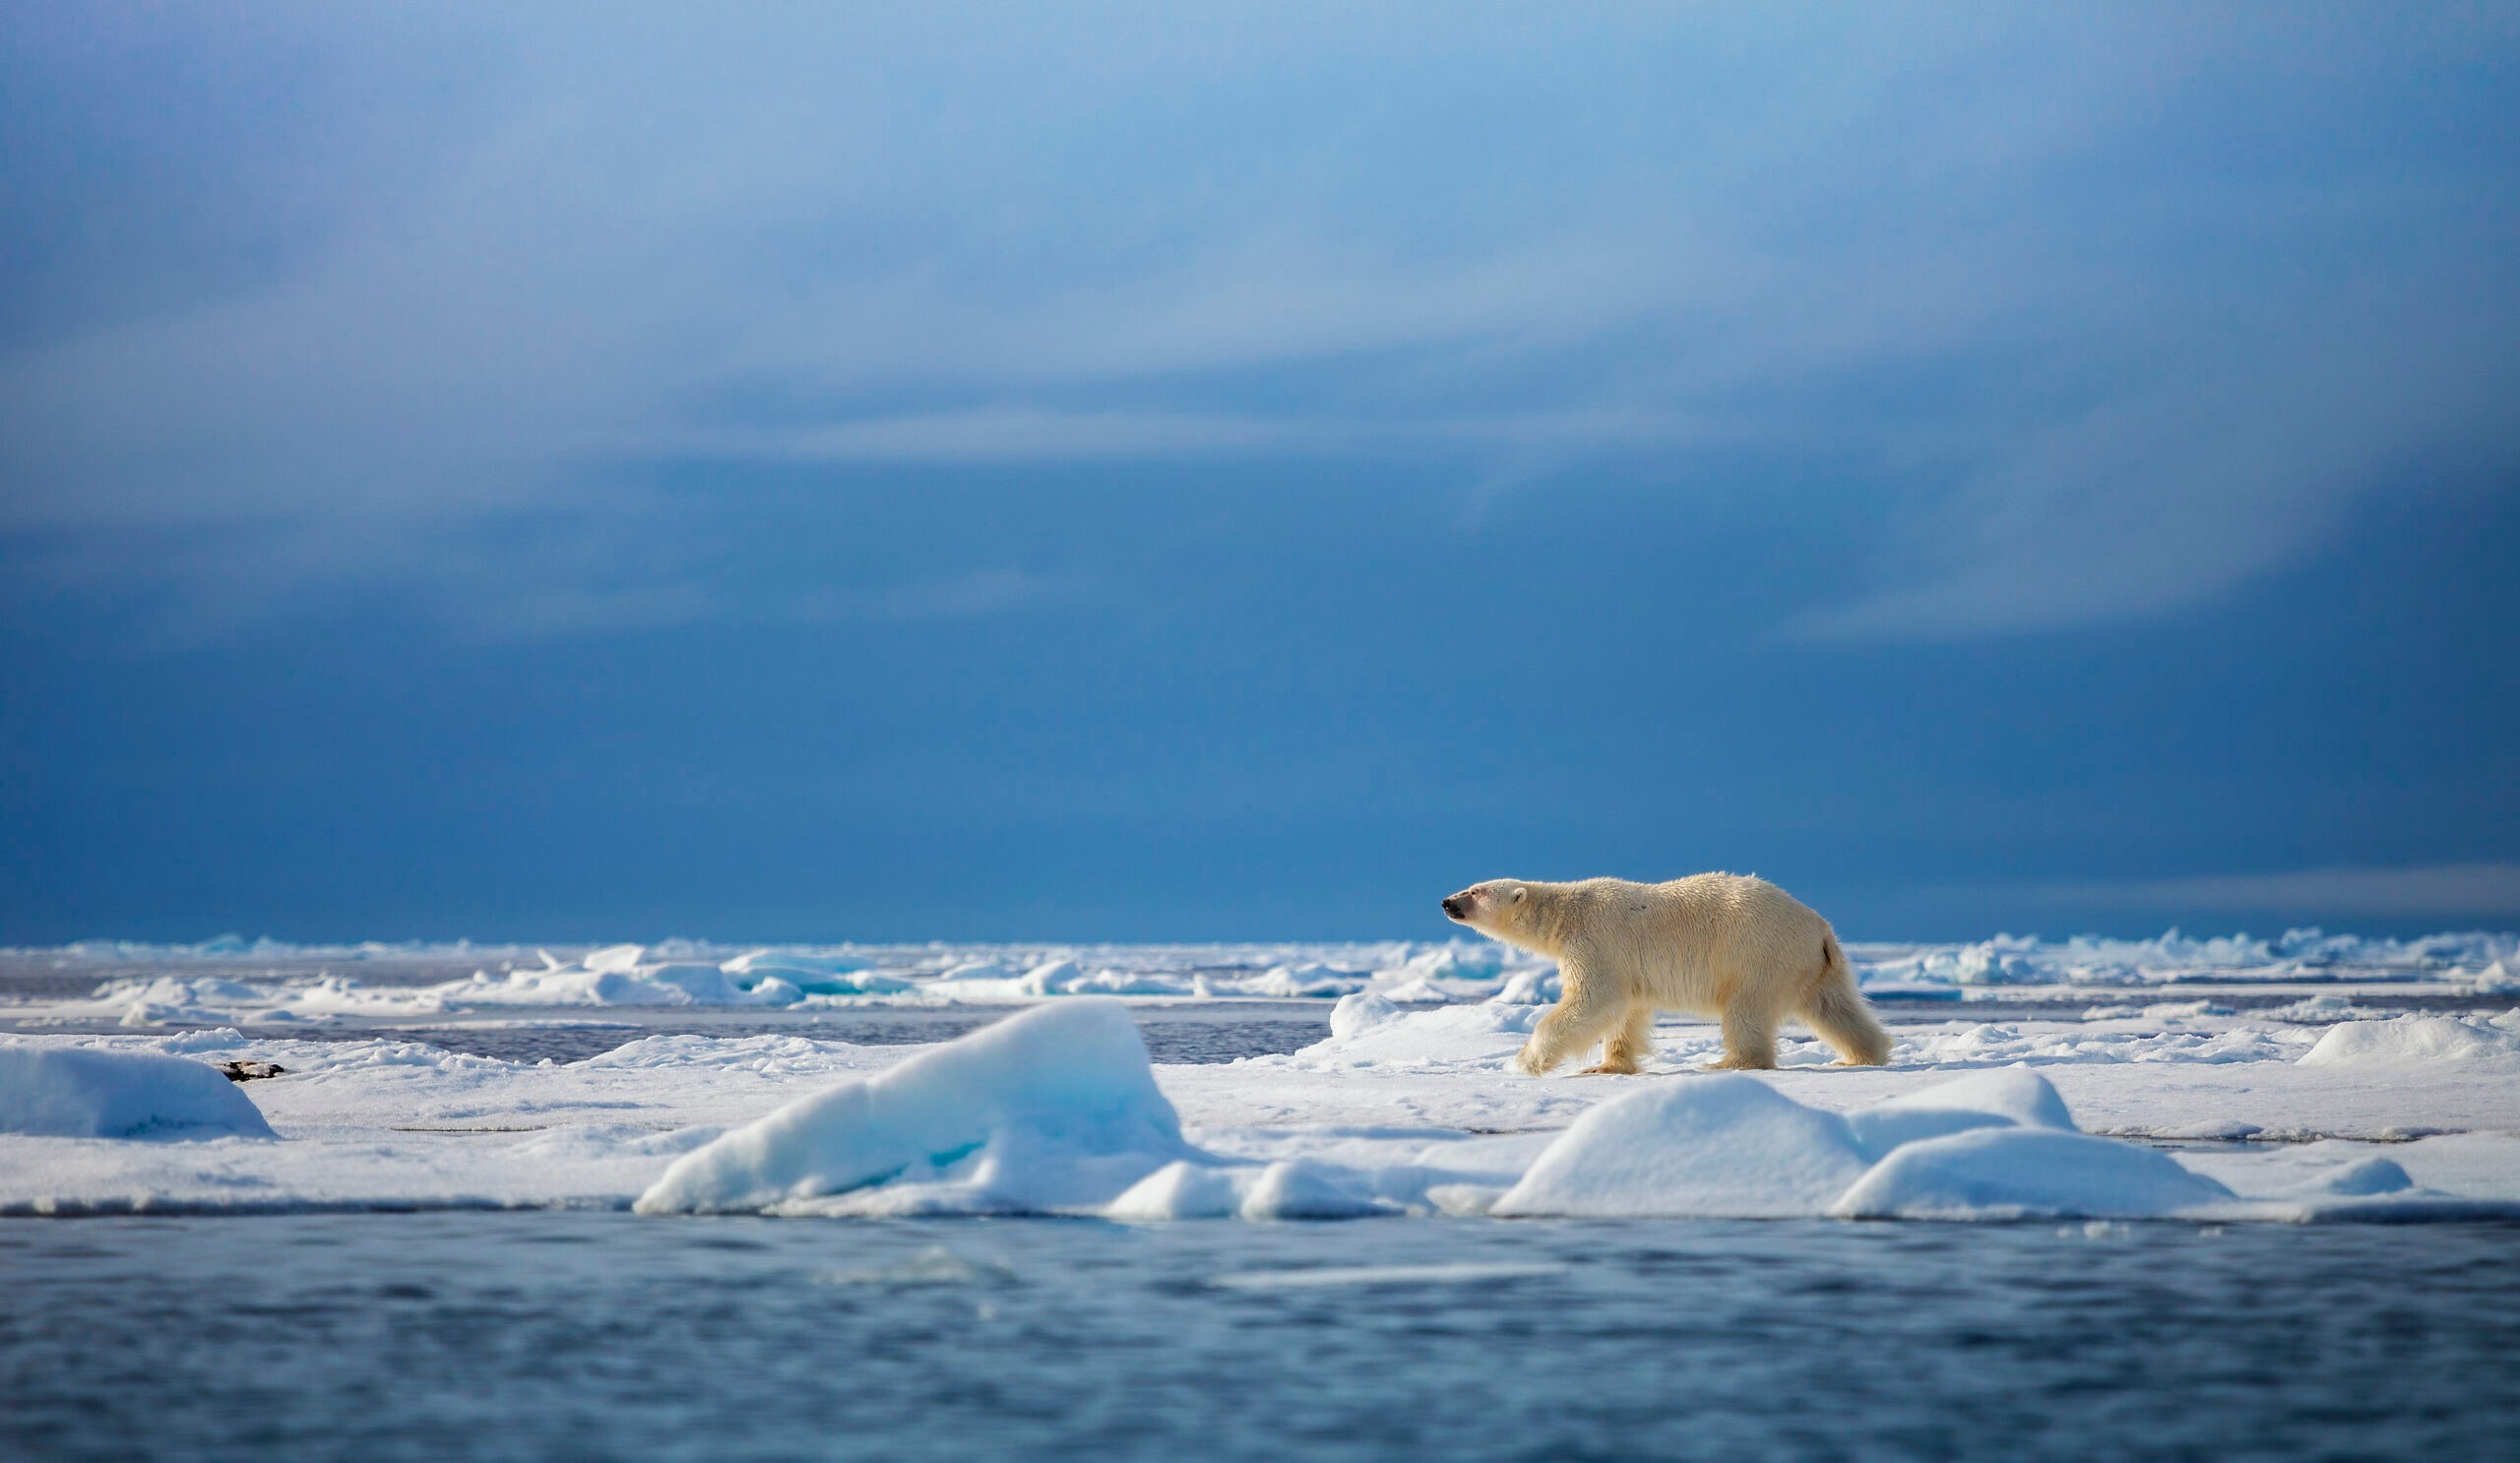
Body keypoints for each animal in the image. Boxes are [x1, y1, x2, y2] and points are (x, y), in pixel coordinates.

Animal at [1440, 873, 1891, 1075]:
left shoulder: (1596, 942)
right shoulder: (1626, 965)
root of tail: (1820, 928)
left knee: (1746, 1010)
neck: (1566, 912)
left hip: (1757, 954)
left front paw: (1526, 1060)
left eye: (1475, 891)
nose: (1446, 901)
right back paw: (1861, 1055)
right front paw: (1608, 1067)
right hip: (1815, 966)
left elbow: (1591, 999)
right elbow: (1625, 1012)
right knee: (1834, 1007)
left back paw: (1729, 1062)